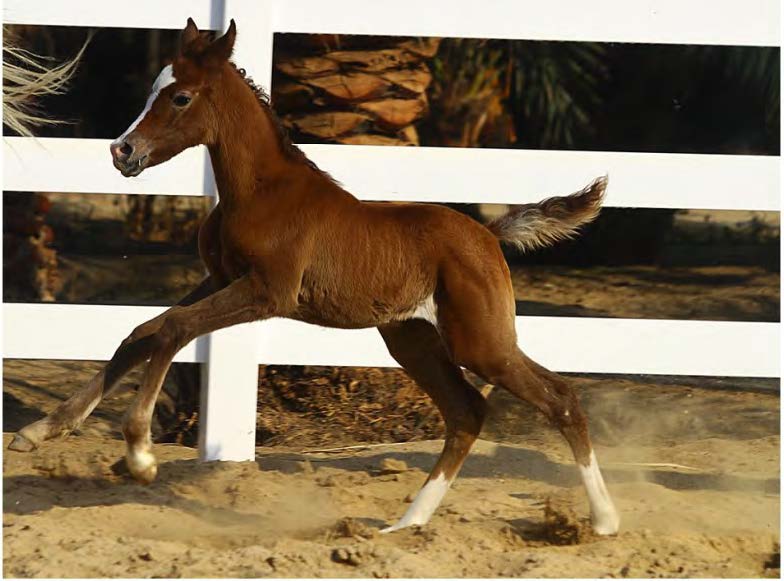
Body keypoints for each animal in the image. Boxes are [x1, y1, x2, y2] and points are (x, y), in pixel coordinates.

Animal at [9, 18, 620, 536]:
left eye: (180, 97)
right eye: (151, 91)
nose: (122, 151)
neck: (261, 191)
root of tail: (490, 233)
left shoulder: (267, 292)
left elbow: (175, 329)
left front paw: (139, 455)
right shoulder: (219, 279)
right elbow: (143, 332)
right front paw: (41, 431)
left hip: (480, 341)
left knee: (560, 398)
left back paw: (604, 521)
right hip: (412, 339)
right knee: (467, 411)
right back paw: (405, 525)